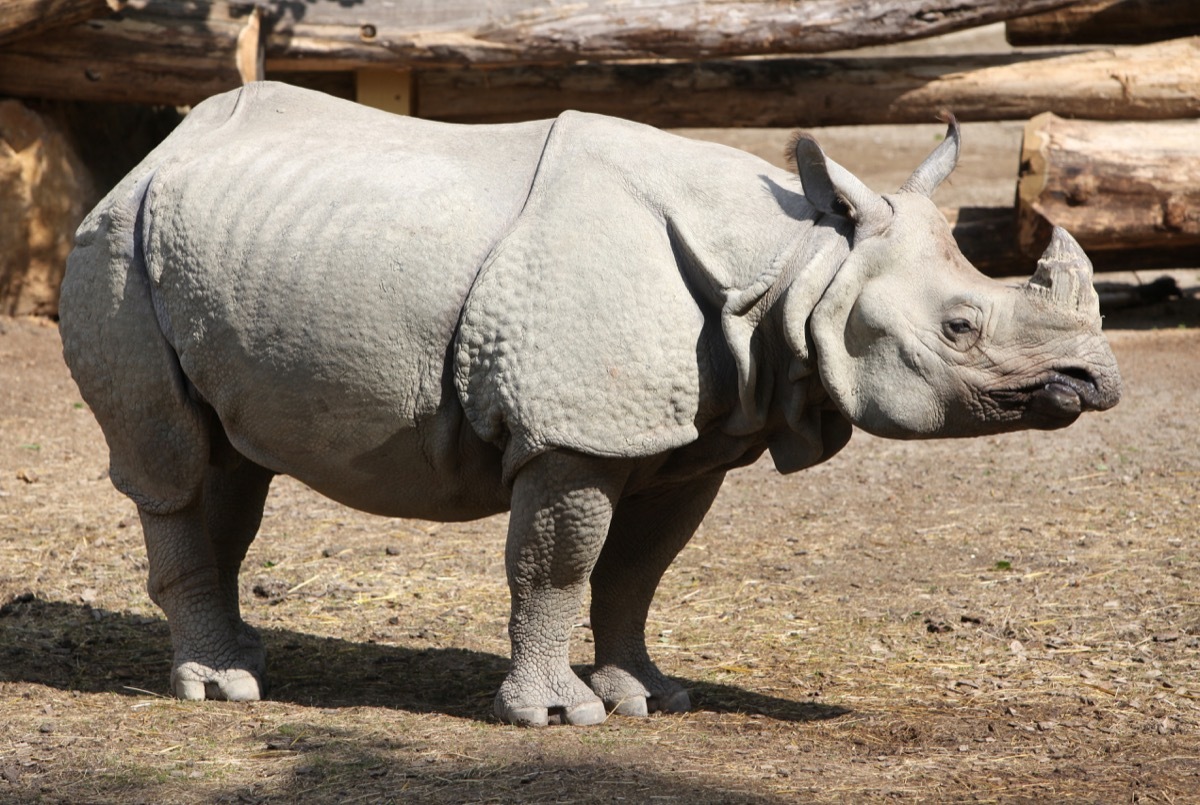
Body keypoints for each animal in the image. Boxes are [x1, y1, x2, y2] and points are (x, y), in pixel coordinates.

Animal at [59, 82, 1120, 726]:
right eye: (960, 328)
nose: (1096, 381)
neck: (797, 261)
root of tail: (158, 149)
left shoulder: (695, 436)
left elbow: (637, 571)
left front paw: (652, 694)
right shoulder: (574, 431)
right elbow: (559, 567)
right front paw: (558, 715)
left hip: (212, 248)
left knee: (230, 462)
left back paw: (248, 659)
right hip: (114, 246)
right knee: (174, 466)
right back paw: (220, 688)